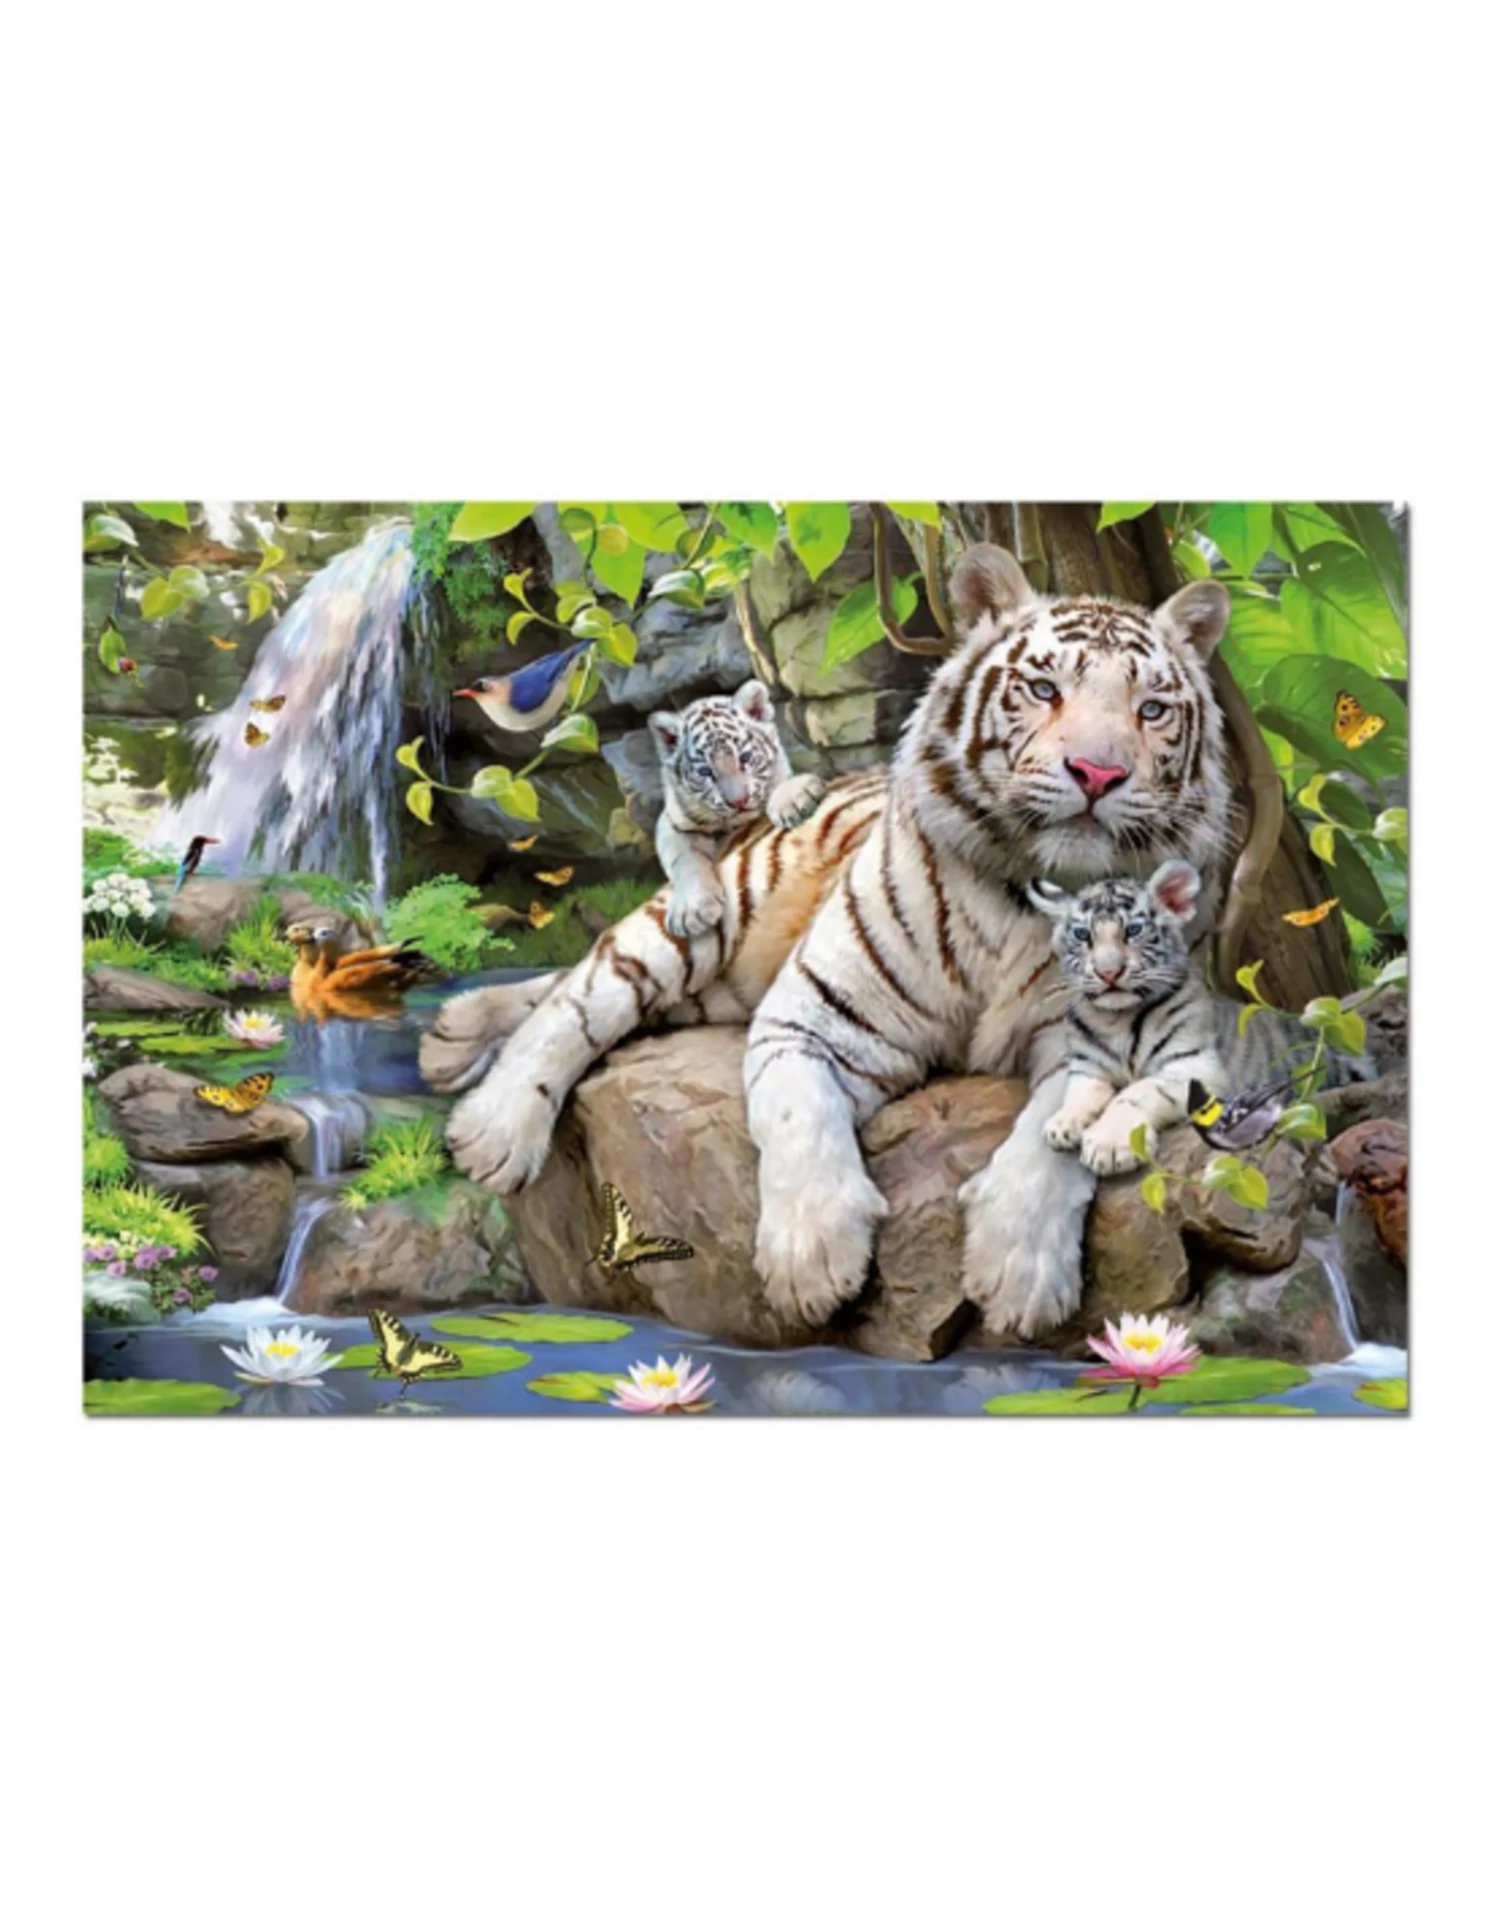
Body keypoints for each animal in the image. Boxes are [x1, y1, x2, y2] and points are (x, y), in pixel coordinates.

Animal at [649, 679, 825, 936]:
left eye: (745, 758)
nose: (739, 801)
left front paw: (793, 799)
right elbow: (684, 860)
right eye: (705, 772)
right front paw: (691, 910)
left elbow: (779, 783)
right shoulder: (673, 823)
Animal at [1029, 859, 1370, 1175]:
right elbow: (1080, 1092)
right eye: (1082, 934)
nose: (1108, 972)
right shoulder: (1088, 1067)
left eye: (1133, 931)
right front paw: (1062, 1123)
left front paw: (1109, 1145)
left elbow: (1135, 1092)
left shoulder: (1195, 1066)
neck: (1117, 1019)